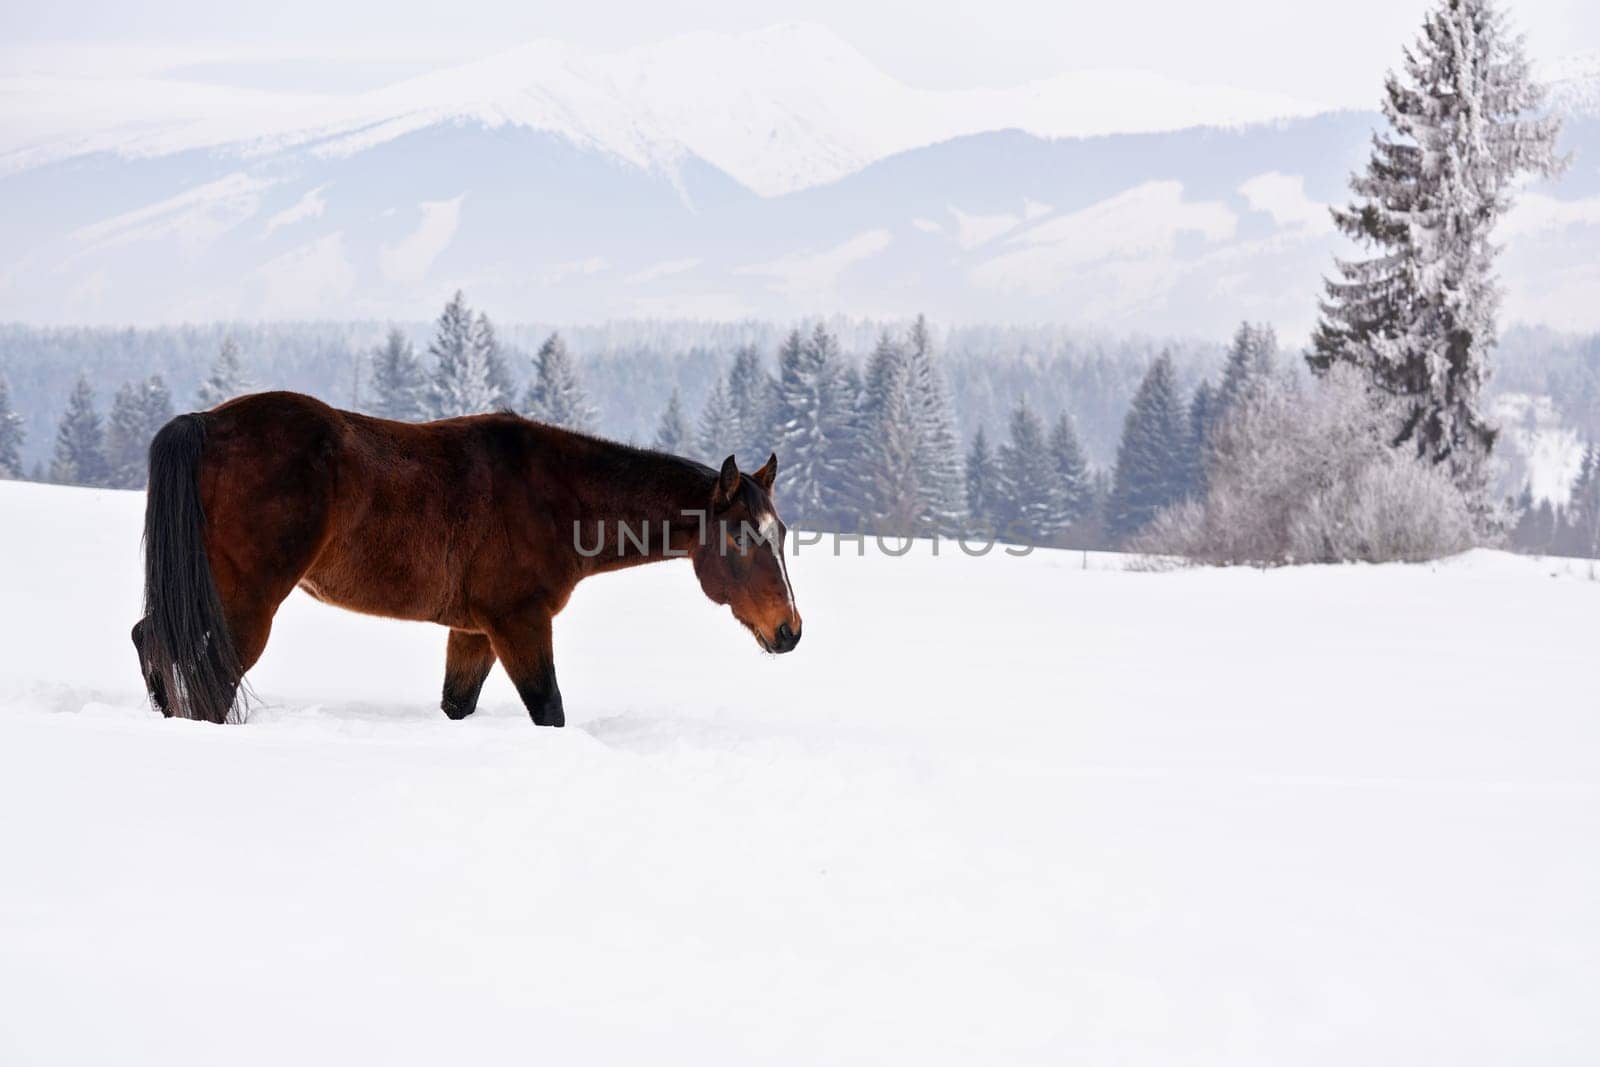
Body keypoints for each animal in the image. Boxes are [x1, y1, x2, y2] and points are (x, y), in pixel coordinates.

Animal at [136, 390, 806, 726]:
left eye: (781, 533)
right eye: (742, 538)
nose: (789, 631)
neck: (555, 494)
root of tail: (206, 422)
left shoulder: (474, 632)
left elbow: (458, 705)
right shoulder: (519, 623)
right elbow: (549, 710)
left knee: (151, 642)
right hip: (244, 606)